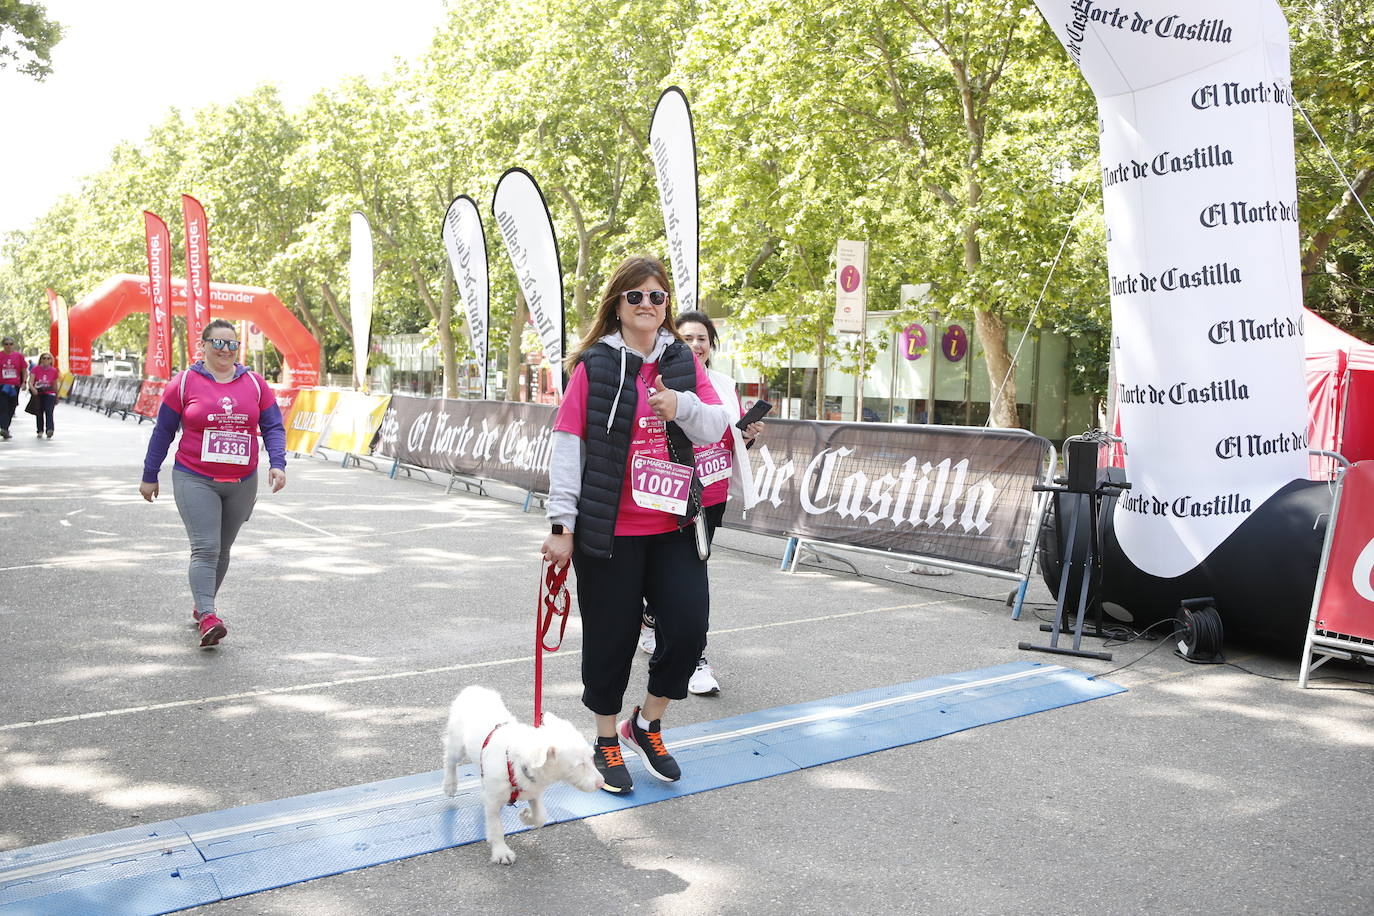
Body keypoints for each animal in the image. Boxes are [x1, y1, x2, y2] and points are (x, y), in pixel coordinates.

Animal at [442, 683, 604, 862]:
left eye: (591, 757)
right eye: (579, 764)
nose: (601, 783)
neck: (518, 763)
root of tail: (473, 689)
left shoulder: (533, 793)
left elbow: (540, 817)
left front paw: (525, 816)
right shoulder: (493, 800)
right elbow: (496, 827)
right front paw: (501, 851)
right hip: (457, 745)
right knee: (449, 760)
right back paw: (450, 785)